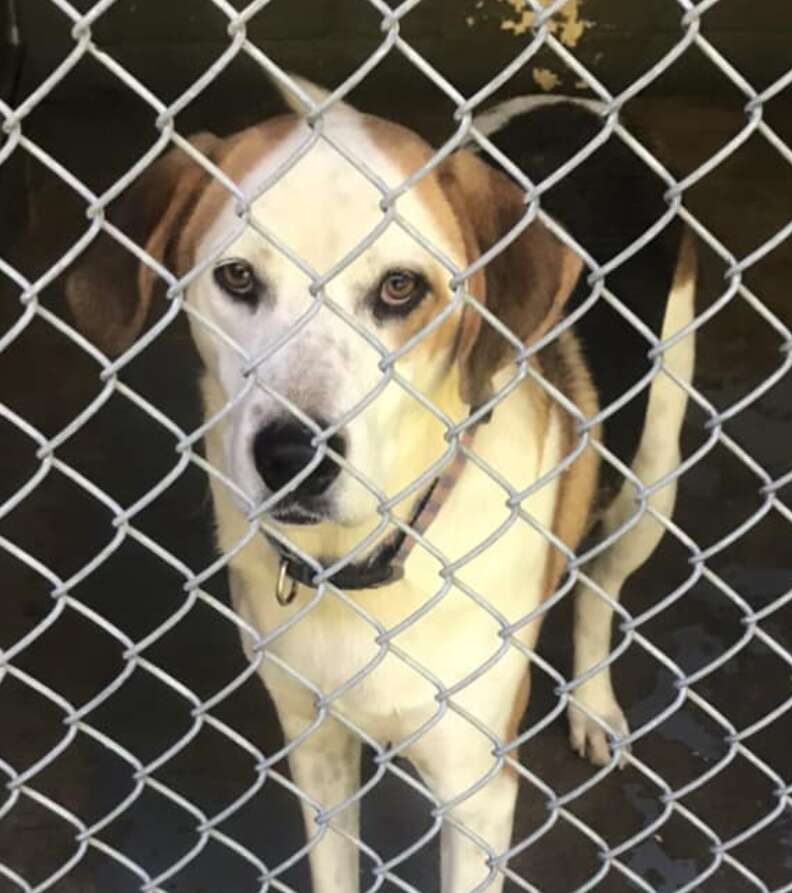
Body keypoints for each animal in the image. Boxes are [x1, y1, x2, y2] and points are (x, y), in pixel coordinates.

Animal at [68, 76, 696, 892]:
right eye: (237, 276)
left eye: (400, 287)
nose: (294, 455)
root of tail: (579, 104)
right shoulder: (316, 751)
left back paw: (592, 702)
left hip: (654, 476)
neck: (360, 566)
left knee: (599, 589)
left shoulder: (477, 793)